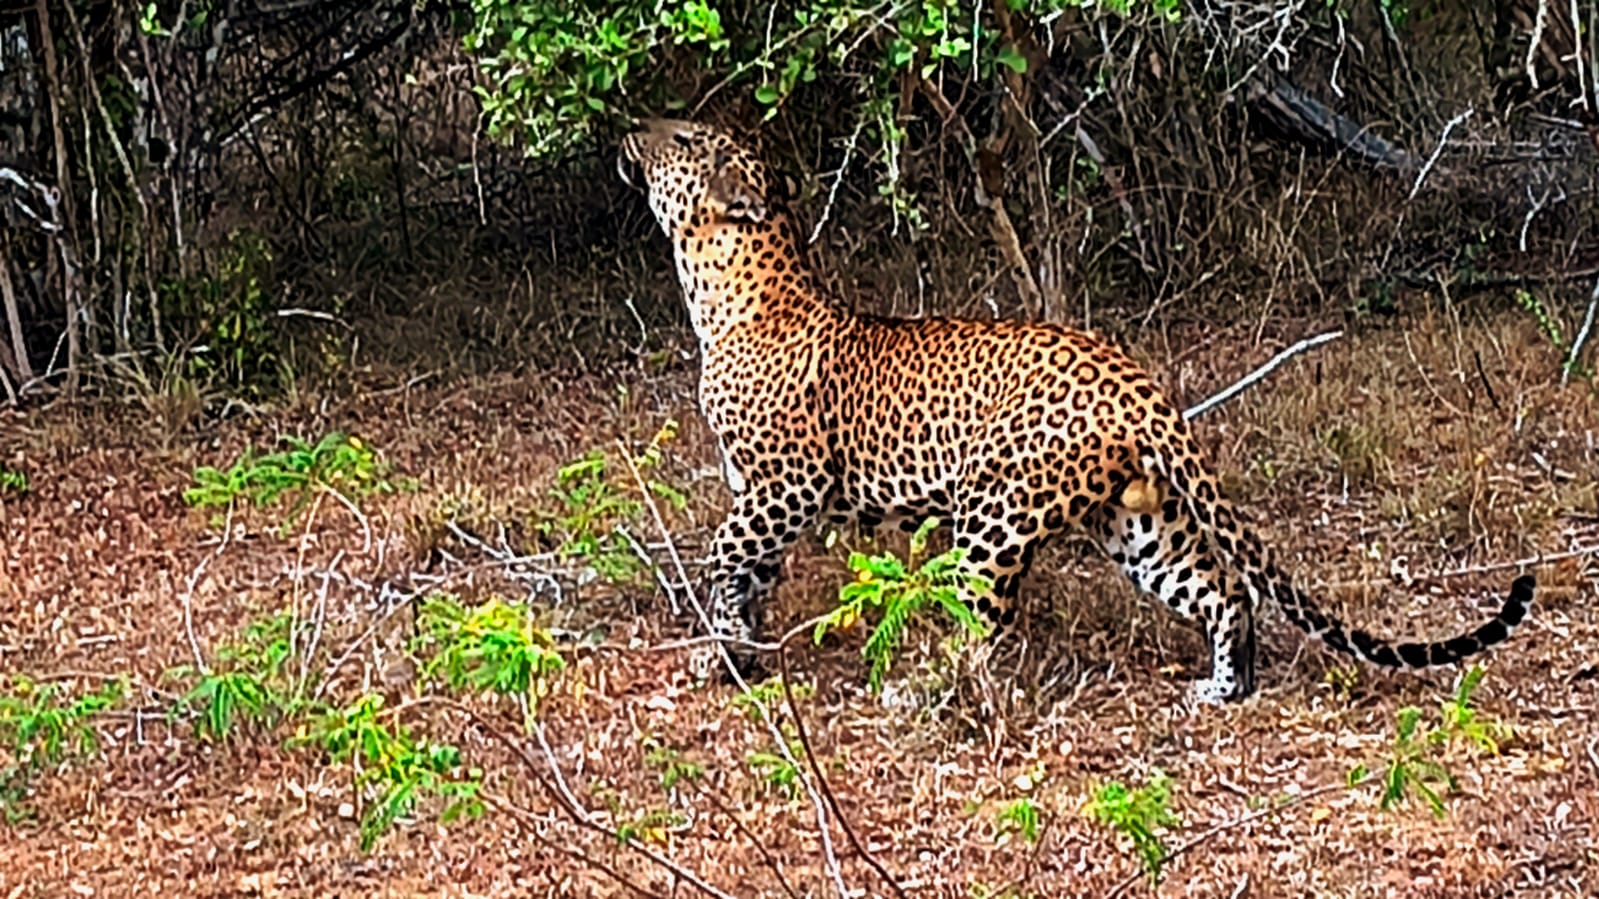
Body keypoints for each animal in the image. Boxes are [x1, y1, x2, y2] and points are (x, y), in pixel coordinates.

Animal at [616, 117, 1535, 703]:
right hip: (1135, 519)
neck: (724, 287)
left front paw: (719, 649)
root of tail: (1136, 380)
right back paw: (1223, 688)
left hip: (994, 515)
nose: (632, 124)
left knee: (982, 629)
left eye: (685, 138)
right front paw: (738, 654)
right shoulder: (761, 491)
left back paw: (921, 694)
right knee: (1221, 587)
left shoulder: (787, 485)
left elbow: (721, 556)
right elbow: (749, 573)